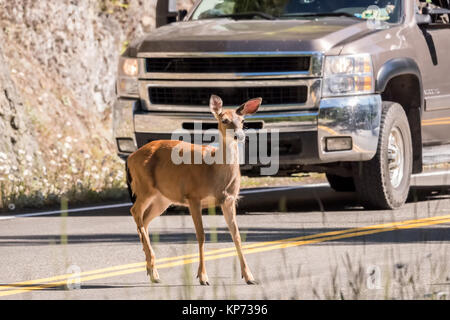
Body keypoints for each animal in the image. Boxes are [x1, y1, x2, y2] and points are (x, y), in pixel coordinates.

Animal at [125, 94, 262, 284]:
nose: (239, 136)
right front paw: (203, 277)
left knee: (144, 221)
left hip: (163, 198)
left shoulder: (228, 199)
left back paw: (152, 271)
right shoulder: (193, 197)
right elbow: (201, 235)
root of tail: (130, 157)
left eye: (242, 121)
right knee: (135, 211)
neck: (214, 170)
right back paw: (153, 270)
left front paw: (249, 276)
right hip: (145, 187)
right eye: (224, 120)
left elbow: (236, 235)